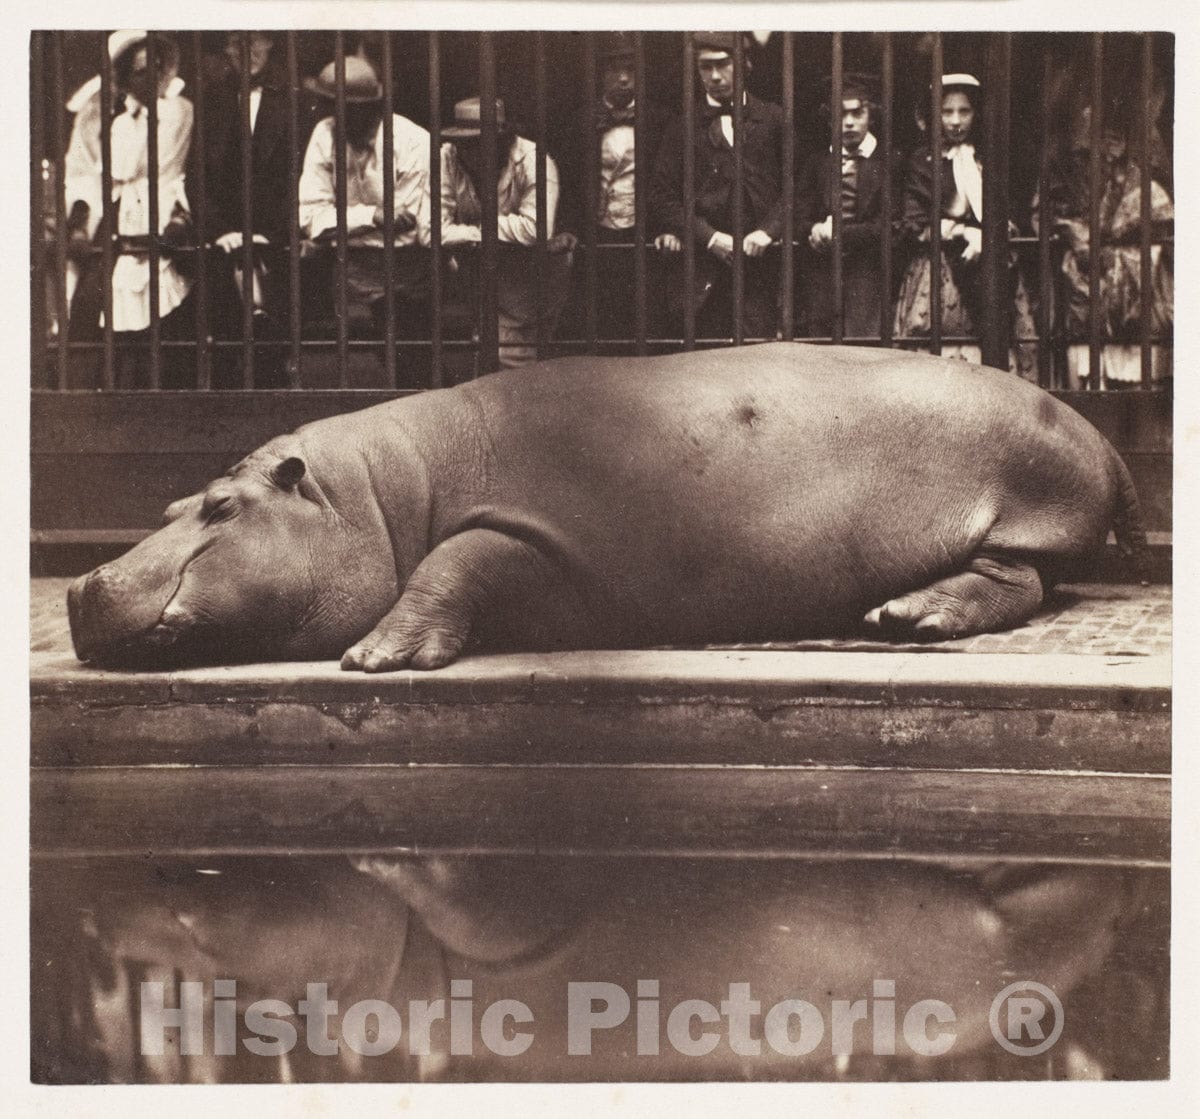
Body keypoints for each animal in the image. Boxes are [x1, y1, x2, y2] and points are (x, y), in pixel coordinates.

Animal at [67, 342, 1146, 669]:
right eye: (171, 498)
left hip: (1022, 510)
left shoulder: (522, 527)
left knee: (1020, 579)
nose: (78, 584)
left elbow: (451, 563)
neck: (378, 493)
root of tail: (1101, 437)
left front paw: (376, 656)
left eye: (219, 506)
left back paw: (909, 617)